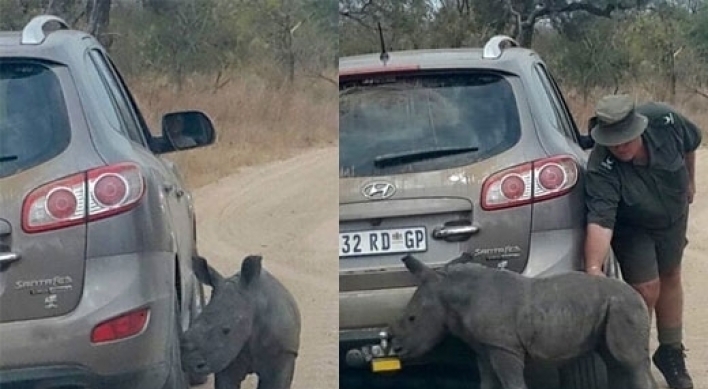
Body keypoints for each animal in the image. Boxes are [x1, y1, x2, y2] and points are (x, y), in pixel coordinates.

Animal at [390, 253, 656, 388]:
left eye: (412, 318)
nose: (397, 348)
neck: (452, 292)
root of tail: (637, 295)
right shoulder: (486, 346)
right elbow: (487, 382)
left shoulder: (504, 346)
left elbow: (512, 382)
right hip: (611, 310)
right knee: (614, 360)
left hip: (624, 306)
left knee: (629, 361)